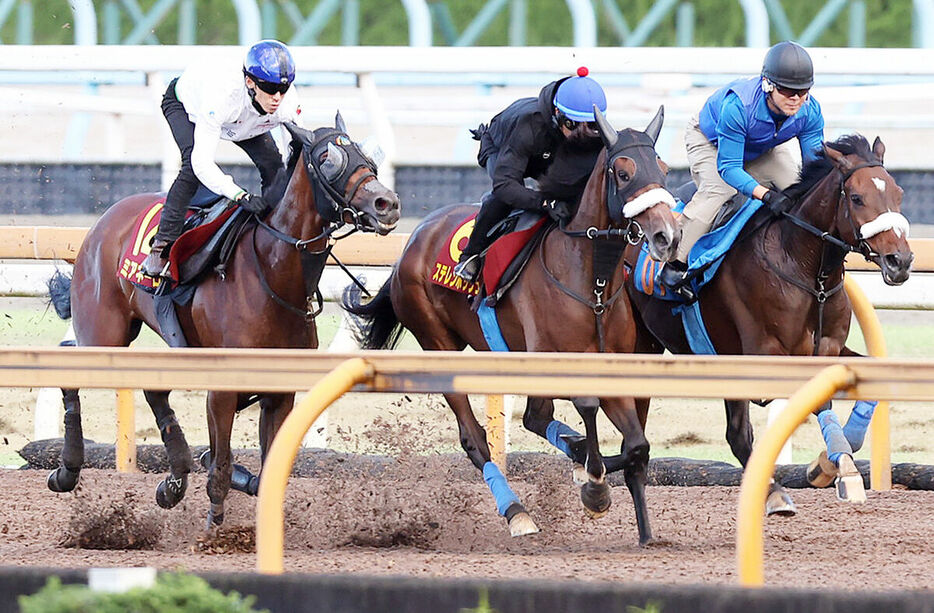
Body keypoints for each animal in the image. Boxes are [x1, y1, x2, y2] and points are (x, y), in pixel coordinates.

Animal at [45, 116, 400, 524]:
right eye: (329, 159)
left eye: (366, 156)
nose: (386, 203)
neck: (271, 273)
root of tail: (103, 221)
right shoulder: (223, 389)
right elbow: (222, 469)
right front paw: (215, 524)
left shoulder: (279, 393)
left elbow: (265, 472)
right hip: (105, 332)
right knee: (69, 365)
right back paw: (67, 470)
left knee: (151, 388)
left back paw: (174, 481)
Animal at [344, 107, 680, 544]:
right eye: (622, 173)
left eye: (663, 168)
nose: (666, 235)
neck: (591, 280)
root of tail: (412, 242)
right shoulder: (553, 361)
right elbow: (587, 408)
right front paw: (594, 484)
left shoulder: (614, 365)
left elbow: (637, 444)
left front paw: (593, 473)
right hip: (437, 343)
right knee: (476, 439)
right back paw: (517, 511)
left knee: (535, 418)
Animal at [624, 133, 912, 512]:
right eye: (857, 198)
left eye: (898, 193)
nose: (900, 261)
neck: (804, 267)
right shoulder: (768, 357)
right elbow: (818, 401)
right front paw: (843, 470)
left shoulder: (829, 347)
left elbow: (867, 387)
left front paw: (826, 463)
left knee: (733, 434)